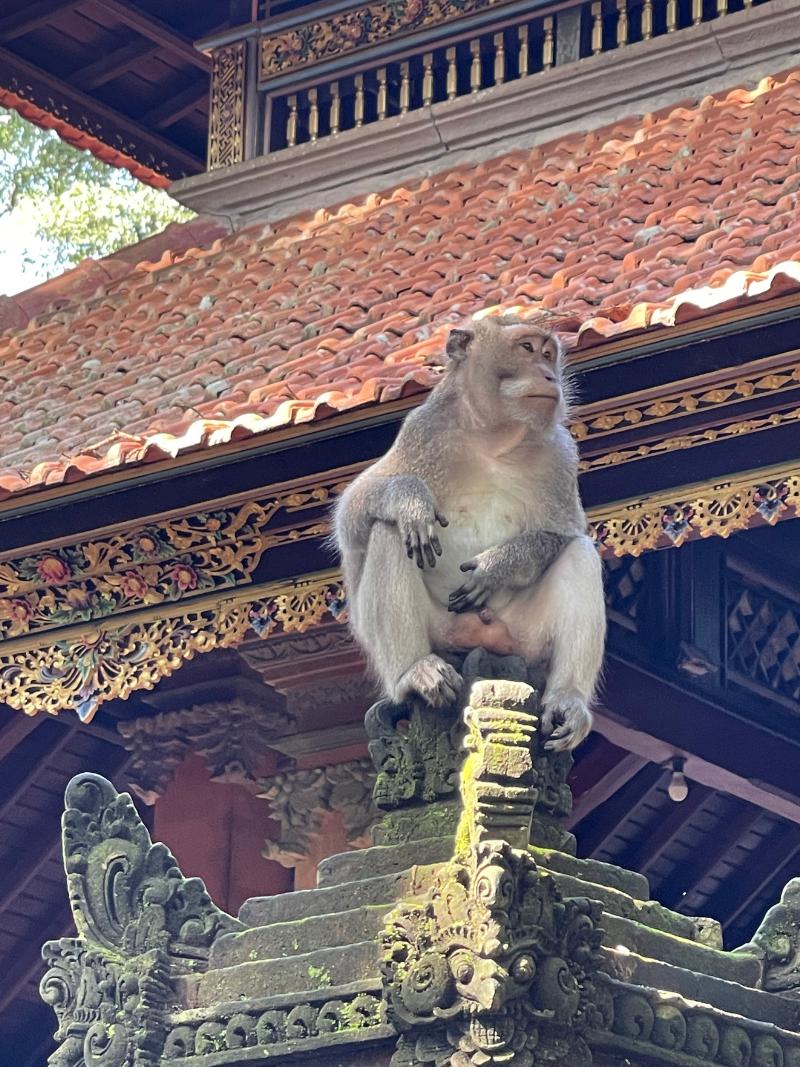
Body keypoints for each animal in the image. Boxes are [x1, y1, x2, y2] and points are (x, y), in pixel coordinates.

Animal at [332, 311, 605, 751]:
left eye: (549, 354)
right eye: (526, 349)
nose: (549, 376)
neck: (494, 437)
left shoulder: (561, 453)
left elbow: (563, 533)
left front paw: (498, 566)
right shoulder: (423, 430)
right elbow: (353, 516)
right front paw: (410, 500)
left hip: (524, 640)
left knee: (580, 552)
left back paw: (568, 699)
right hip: (441, 633)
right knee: (389, 532)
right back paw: (415, 671)